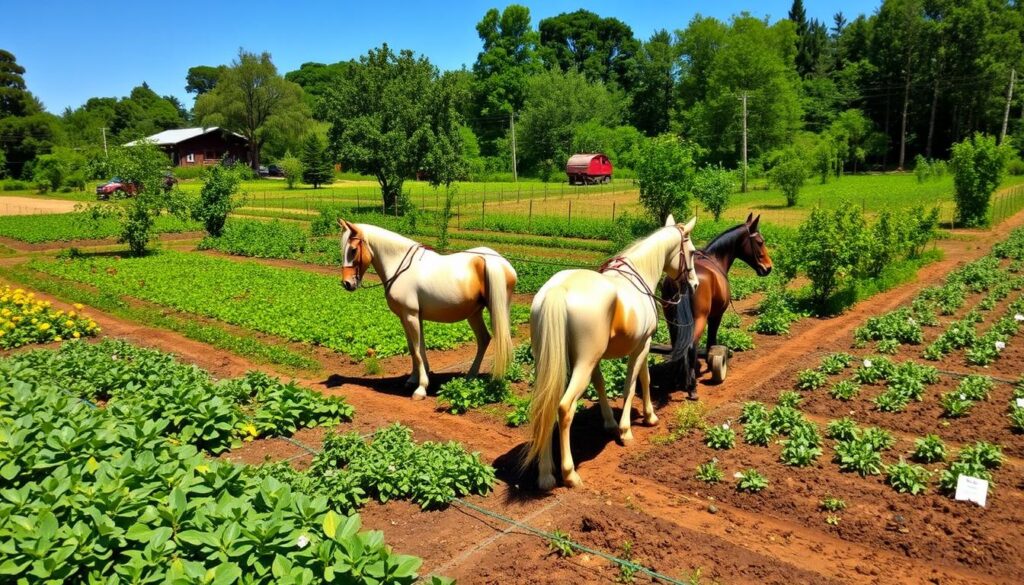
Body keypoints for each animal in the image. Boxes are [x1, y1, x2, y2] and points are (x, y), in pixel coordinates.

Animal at [337, 222, 516, 401]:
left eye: (353, 250)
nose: (347, 284)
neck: (399, 265)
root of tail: (498, 261)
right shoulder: (407, 318)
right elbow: (415, 348)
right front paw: (414, 379)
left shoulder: (411, 316)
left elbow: (417, 350)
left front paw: (421, 388)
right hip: (474, 314)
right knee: (484, 339)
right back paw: (471, 377)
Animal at [524, 215, 700, 489]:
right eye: (691, 252)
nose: (694, 284)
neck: (639, 275)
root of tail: (558, 290)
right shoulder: (642, 346)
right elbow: (634, 384)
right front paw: (628, 429)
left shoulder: (606, 357)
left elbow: (608, 384)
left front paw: (618, 421)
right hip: (582, 365)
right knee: (564, 408)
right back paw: (569, 474)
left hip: (554, 364)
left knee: (546, 405)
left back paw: (545, 475)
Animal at [659, 213, 770, 401]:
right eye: (760, 242)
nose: (769, 268)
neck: (715, 259)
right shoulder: (716, 316)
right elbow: (712, 341)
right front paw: (713, 366)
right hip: (699, 319)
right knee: (690, 346)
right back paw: (692, 388)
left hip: (671, 320)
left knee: (677, 346)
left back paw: (677, 379)